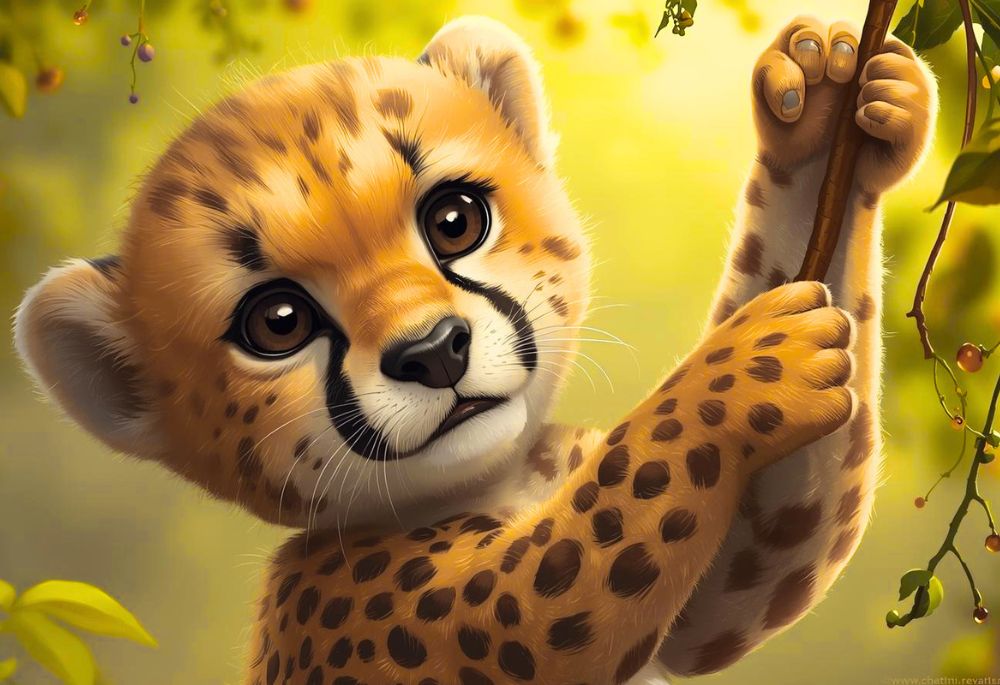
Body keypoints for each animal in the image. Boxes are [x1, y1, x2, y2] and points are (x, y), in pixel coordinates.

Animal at [13, 14, 934, 685]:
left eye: (454, 219)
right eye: (276, 322)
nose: (433, 352)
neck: (501, 482)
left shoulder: (717, 592)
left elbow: (761, 553)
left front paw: (823, 98)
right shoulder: (451, 618)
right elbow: (609, 517)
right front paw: (745, 367)